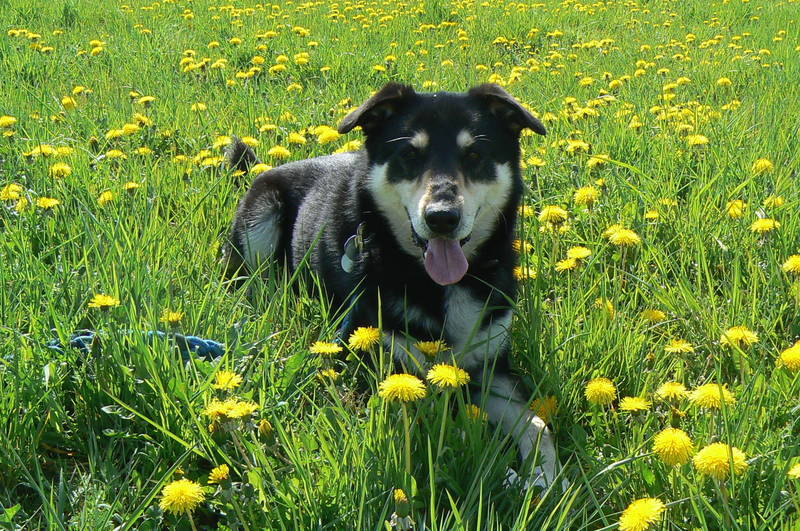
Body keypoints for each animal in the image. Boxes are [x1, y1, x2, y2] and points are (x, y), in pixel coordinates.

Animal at [225, 83, 564, 490]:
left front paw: (546, 477)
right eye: (409, 155)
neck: (439, 283)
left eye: (475, 155)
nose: (442, 218)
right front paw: (494, 468)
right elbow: (444, 425)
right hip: (261, 217)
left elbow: (537, 423)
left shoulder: (492, 368)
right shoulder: (387, 367)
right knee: (253, 282)